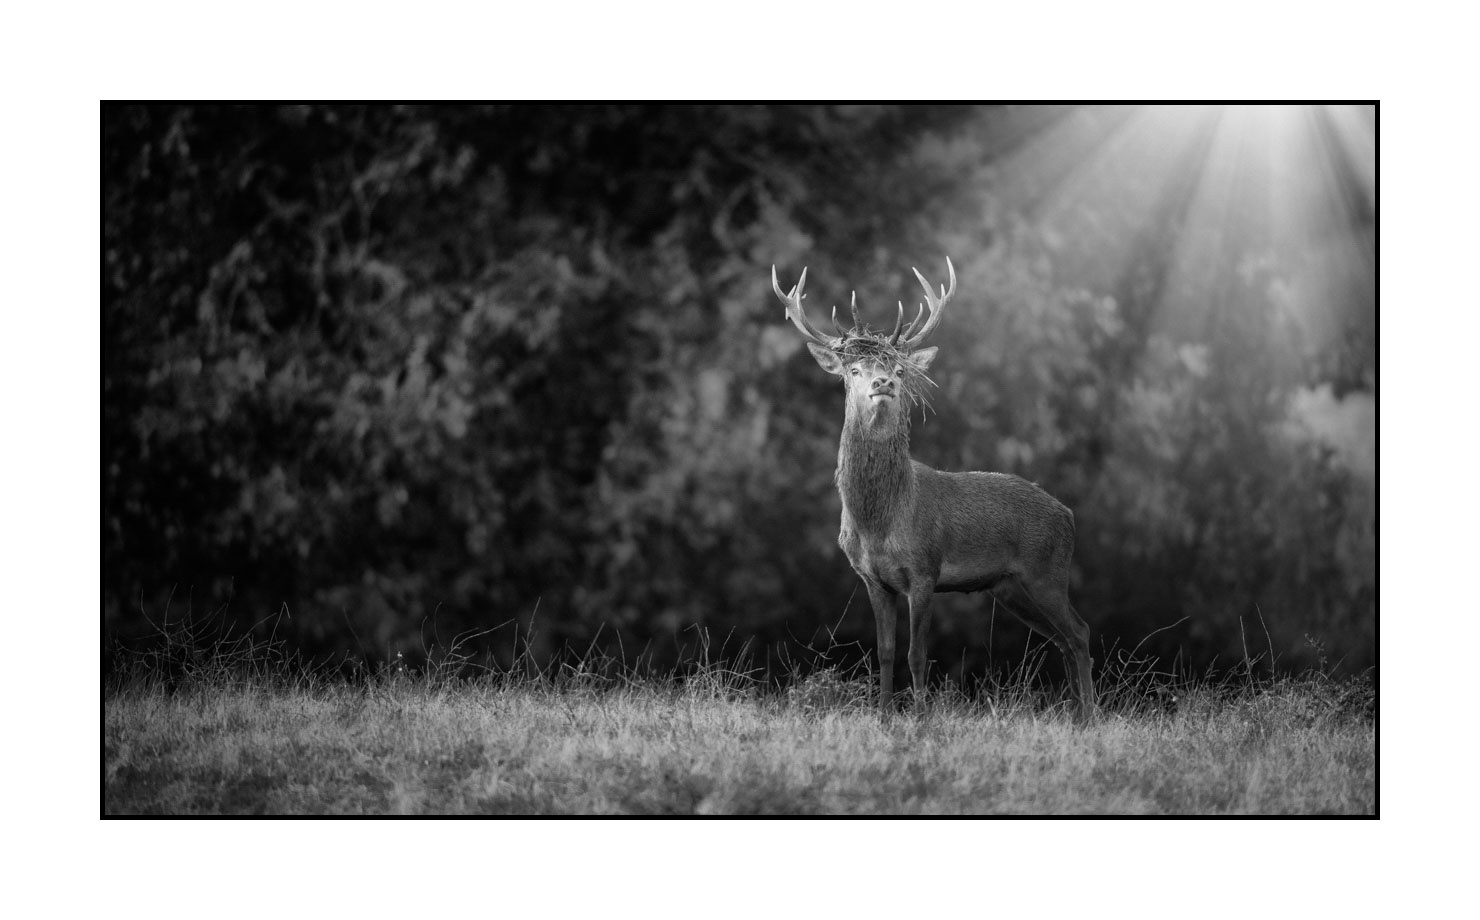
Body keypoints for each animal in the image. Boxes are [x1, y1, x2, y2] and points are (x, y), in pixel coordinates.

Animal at [772, 257, 1095, 719]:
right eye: (854, 370)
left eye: (899, 369)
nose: (884, 383)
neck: (879, 522)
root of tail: (1068, 515)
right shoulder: (873, 579)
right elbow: (885, 652)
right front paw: (884, 716)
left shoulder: (924, 570)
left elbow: (917, 654)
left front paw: (921, 716)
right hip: (1011, 587)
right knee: (1063, 638)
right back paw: (1075, 714)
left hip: (1047, 570)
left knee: (1080, 632)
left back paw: (1090, 714)